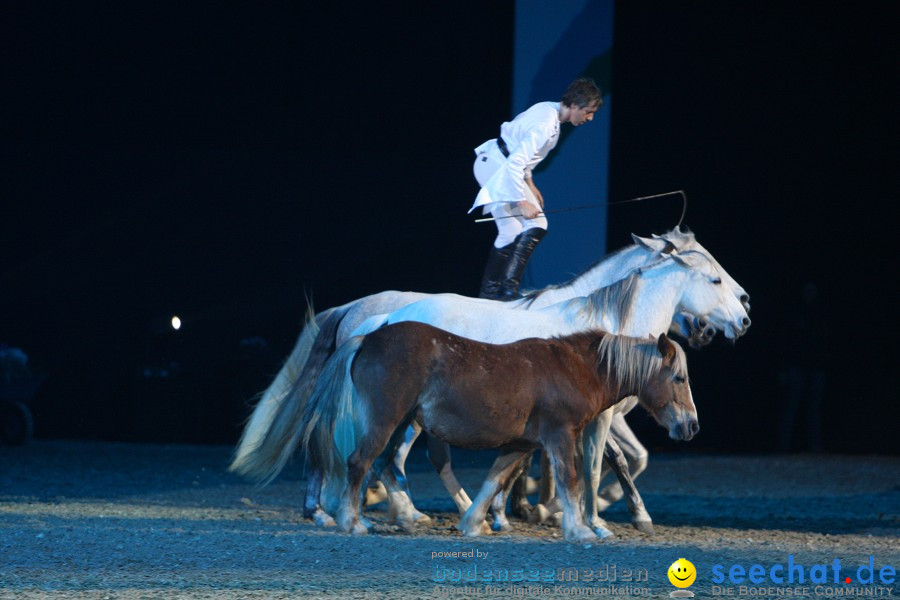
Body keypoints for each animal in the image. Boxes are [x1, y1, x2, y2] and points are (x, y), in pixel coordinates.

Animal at [296, 324, 696, 544]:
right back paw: (352, 522)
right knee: (360, 462)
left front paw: (475, 524)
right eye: (679, 377)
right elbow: (568, 480)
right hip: (387, 420)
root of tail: (366, 338)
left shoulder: (520, 445)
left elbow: (495, 480)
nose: (691, 426)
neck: (571, 369)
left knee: (381, 465)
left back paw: (392, 517)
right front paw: (580, 529)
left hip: (402, 424)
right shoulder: (560, 435)